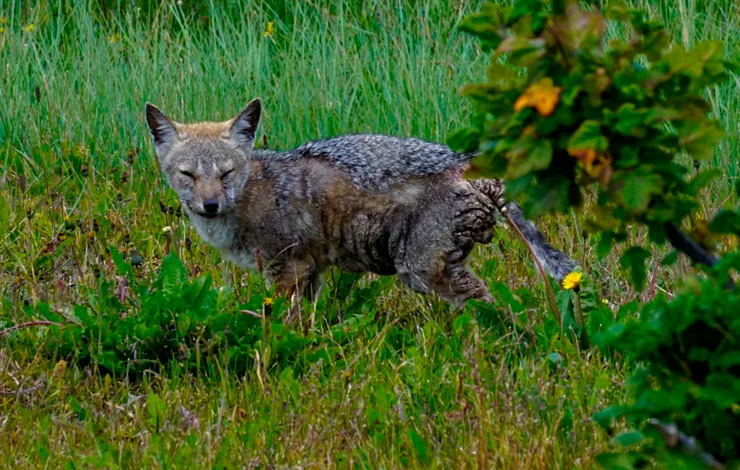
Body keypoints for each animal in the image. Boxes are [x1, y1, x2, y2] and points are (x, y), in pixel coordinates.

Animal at [144, 98, 576, 316]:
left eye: (226, 173)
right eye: (188, 175)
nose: (210, 205)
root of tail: (466, 161)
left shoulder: (287, 270)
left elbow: (280, 324)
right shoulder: (311, 272)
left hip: (419, 271)